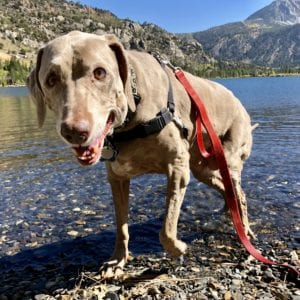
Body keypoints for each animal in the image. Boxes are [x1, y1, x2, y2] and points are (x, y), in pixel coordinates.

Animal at [27, 31, 254, 278]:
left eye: (100, 72)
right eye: (51, 79)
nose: (74, 132)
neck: (133, 107)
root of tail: (237, 100)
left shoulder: (177, 167)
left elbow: (166, 229)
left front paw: (178, 248)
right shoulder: (117, 177)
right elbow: (121, 226)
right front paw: (117, 260)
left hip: (229, 156)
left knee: (240, 194)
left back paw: (245, 229)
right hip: (202, 167)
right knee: (225, 188)